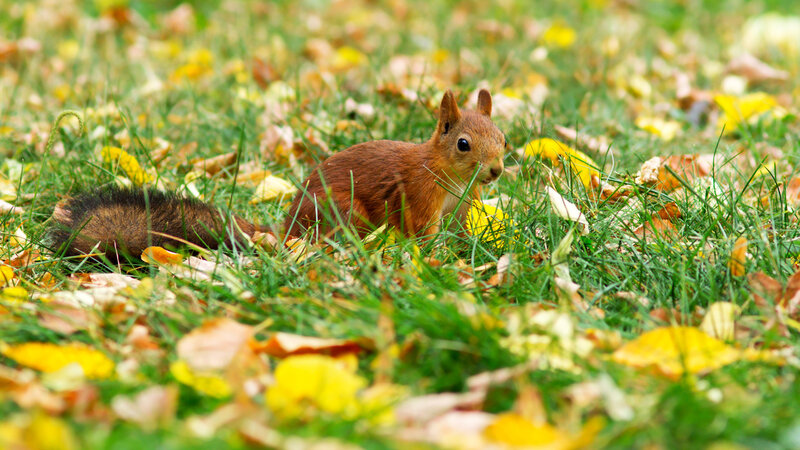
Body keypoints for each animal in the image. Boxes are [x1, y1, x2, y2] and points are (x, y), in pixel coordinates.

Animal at [48, 89, 506, 259]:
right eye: (463, 144)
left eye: (503, 137)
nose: (496, 171)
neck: (451, 178)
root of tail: (288, 230)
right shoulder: (421, 196)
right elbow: (422, 231)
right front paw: (435, 256)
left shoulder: (461, 206)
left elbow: (461, 230)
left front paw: (470, 248)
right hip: (342, 211)